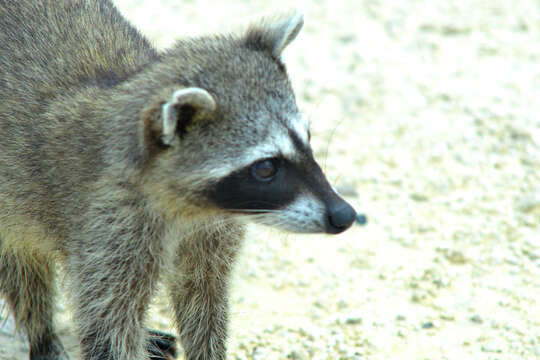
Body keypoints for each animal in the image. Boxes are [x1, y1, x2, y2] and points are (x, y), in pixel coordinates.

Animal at [1, 0, 358, 360]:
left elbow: (203, 297)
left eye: (307, 139)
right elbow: (109, 326)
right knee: (22, 267)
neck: (192, 208)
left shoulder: (211, 229)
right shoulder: (109, 228)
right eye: (266, 168)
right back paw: (42, 335)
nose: (345, 214)